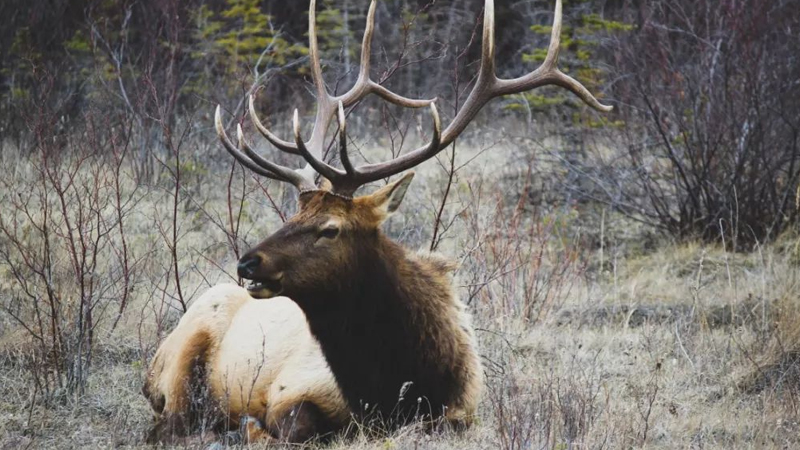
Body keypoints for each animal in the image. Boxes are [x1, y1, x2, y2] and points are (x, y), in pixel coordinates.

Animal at [144, 0, 608, 442]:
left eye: (330, 228)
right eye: (294, 214)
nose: (248, 262)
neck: (396, 383)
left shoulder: (462, 412)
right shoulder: (289, 390)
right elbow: (284, 428)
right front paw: (245, 427)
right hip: (181, 357)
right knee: (170, 423)